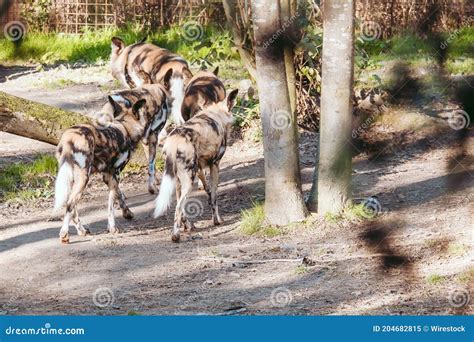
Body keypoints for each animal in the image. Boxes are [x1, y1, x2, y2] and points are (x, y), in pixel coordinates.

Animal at [54, 93, 168, 244]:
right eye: (146, 116)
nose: (154, 126)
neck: (126, 127)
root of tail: (69, 138)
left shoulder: (108, 175)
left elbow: (119, 196)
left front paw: (127, 213)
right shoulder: (115, 174)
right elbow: (111, 205)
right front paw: (112, 228)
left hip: (73, 178)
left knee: (72, 207)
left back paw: (81, 230)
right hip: (84, 178)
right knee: (70, 204)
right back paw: (64, 234)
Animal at [154, 89, 239, 243]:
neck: (215, 113)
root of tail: (174, 140)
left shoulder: (200, 168)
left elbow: (208, 192)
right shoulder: (215, 165)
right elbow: (214, 196)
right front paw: (217, 221)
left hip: (178, 179)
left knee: (179, 205)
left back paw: (188, 226)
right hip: (189, 180)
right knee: (178, 206)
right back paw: (175, 235)